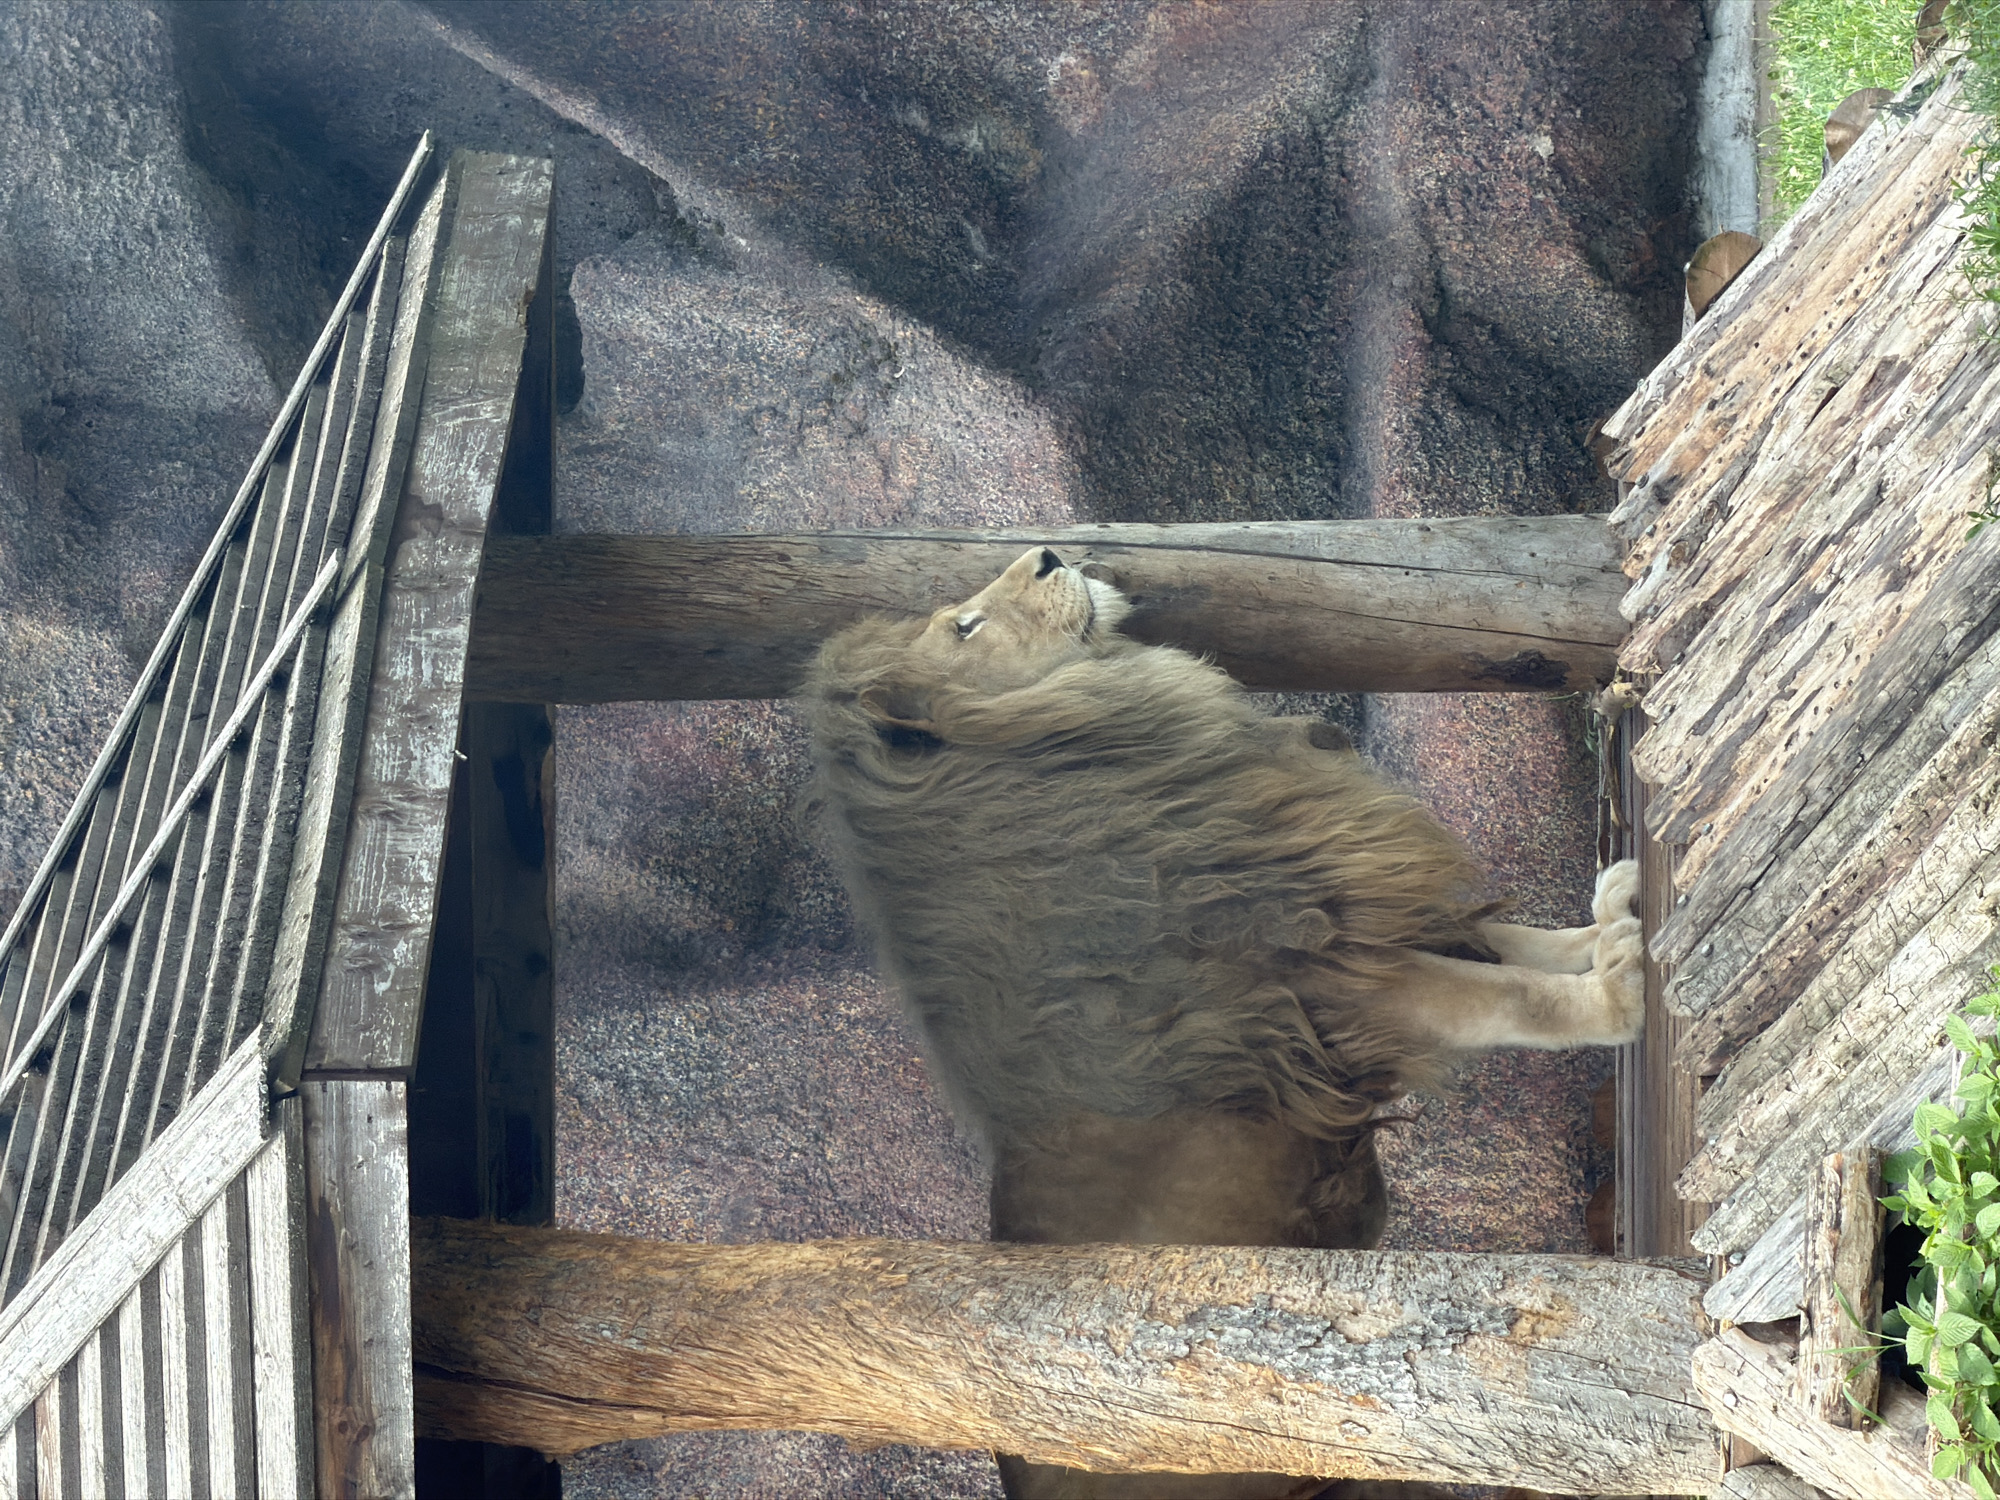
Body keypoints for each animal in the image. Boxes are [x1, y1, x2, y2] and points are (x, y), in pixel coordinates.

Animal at [802, 545, 1644, 1500]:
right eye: (965, 626)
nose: (1047, 553)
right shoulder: (1326, 986)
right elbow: (1512, 996)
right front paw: (1619, 994)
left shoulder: (1343, 912)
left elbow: (1521, 946)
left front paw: (1610, 918)